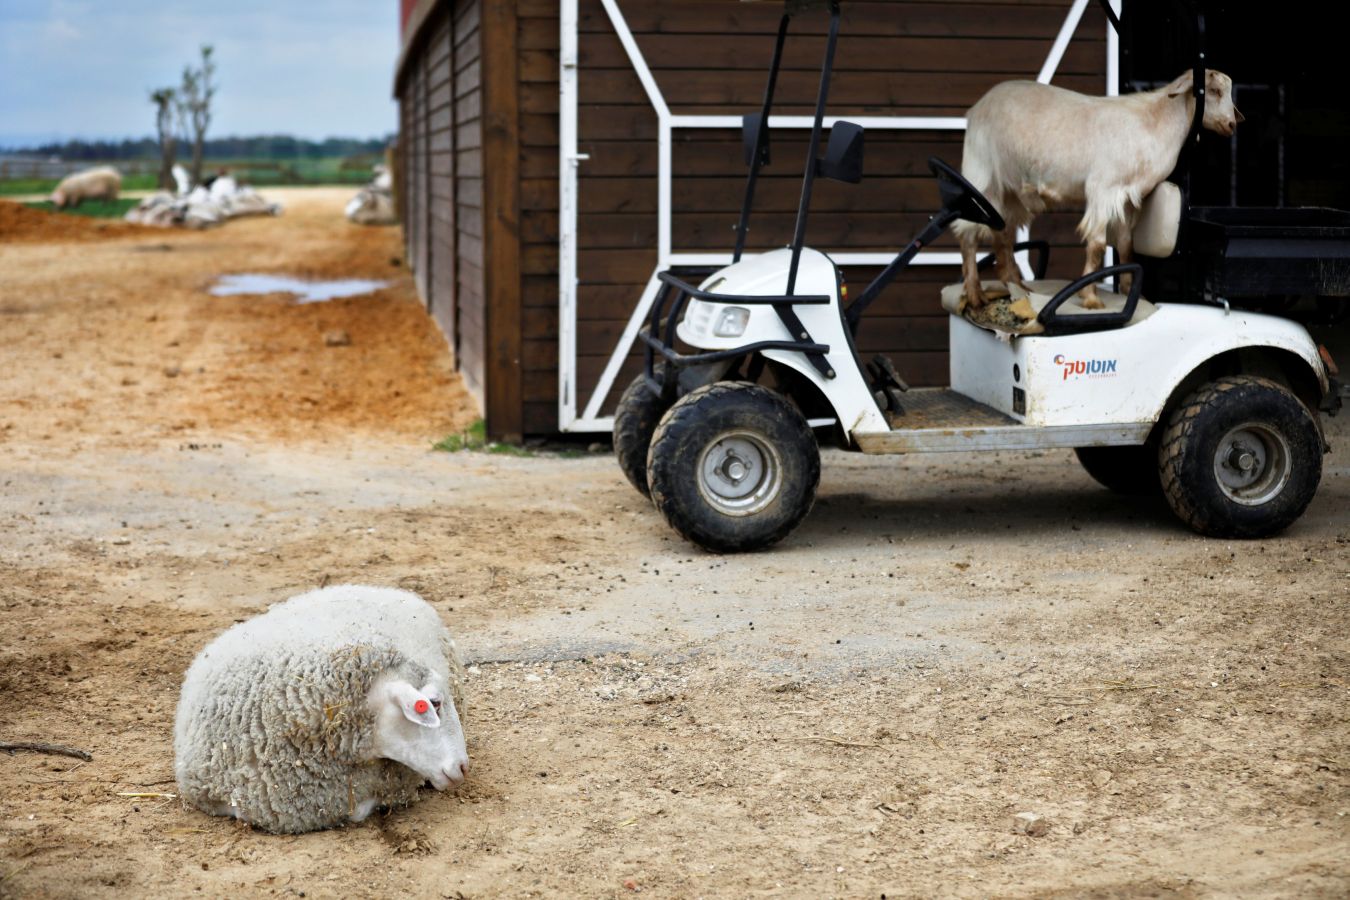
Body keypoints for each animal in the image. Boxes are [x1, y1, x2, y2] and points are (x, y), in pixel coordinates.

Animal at [955, 69, 1236, 310]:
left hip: (1009, 189)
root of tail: (976, 108)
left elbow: (1125, 244)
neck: (1154, 122)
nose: (1232, 124)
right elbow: (1098, 245)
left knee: (1002, 232)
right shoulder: (1103, 189)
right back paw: (975, 295)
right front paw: (1090, 297)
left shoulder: (1127, 197)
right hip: (981, 175)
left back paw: (1017, 285)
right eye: (1214, 90)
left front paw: (1130, 291)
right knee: (968, 233)